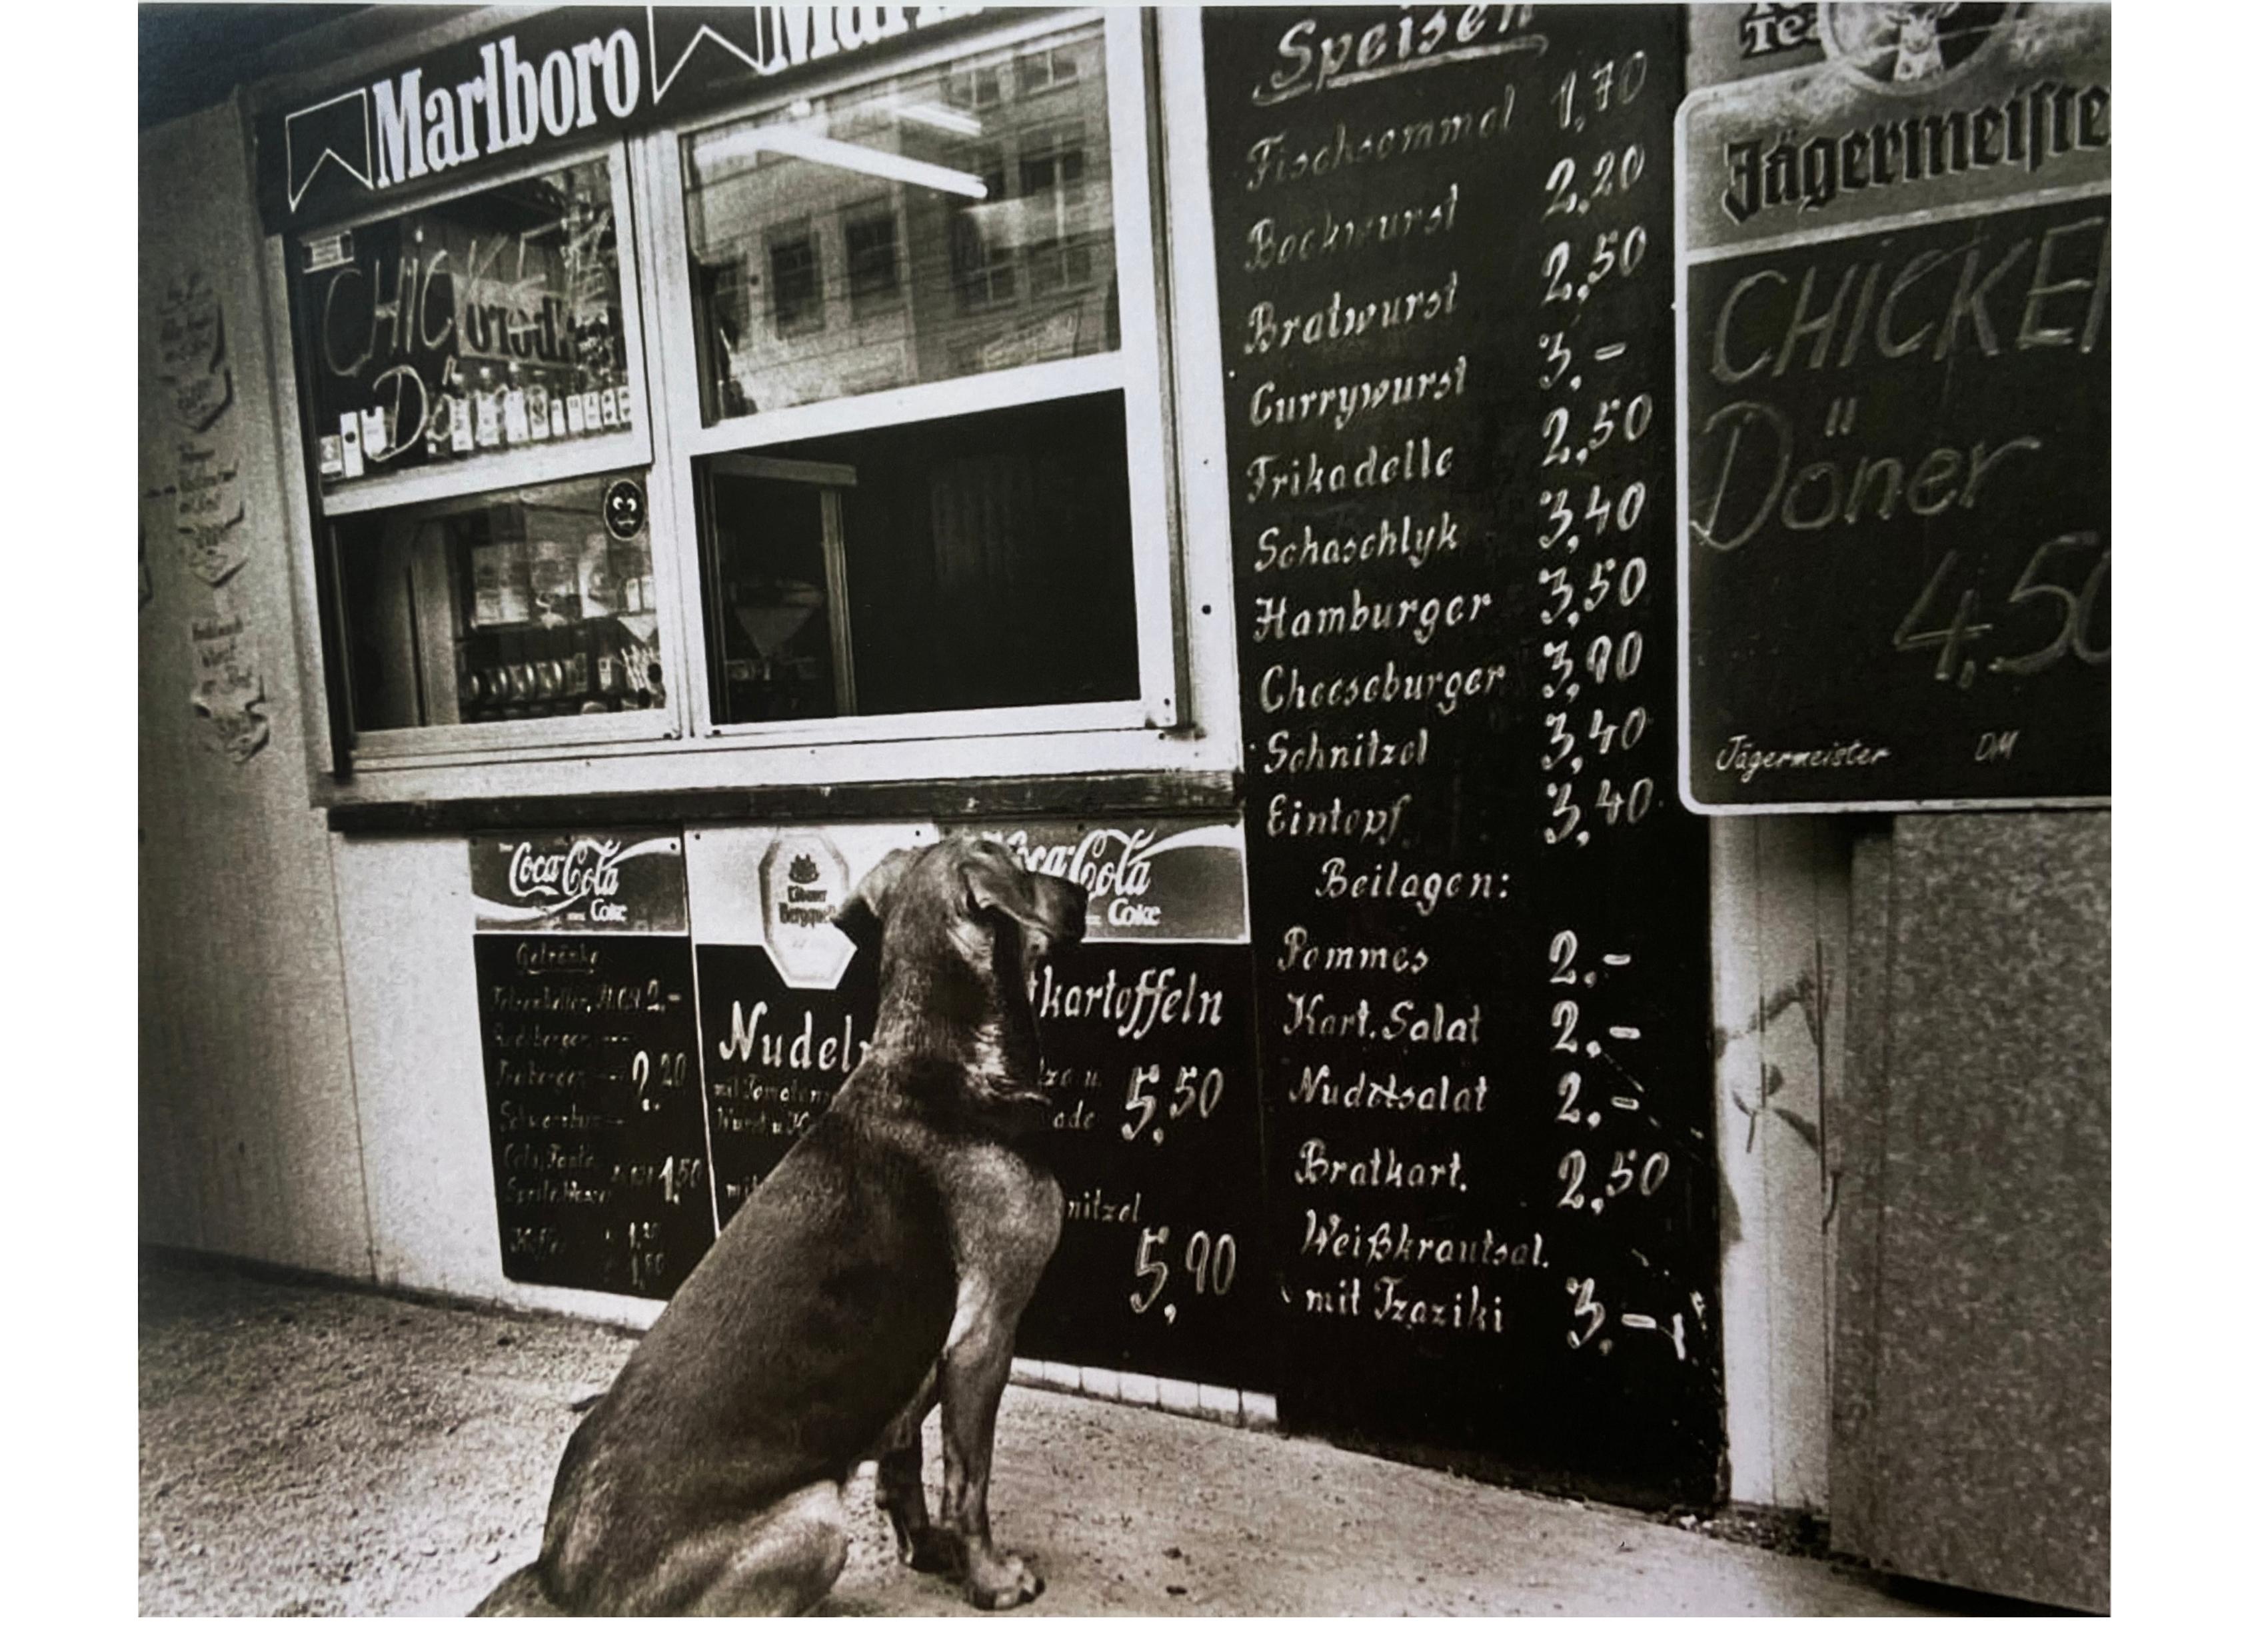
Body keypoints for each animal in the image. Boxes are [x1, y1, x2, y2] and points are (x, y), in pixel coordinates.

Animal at [474, 844, 1084, 1625]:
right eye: (1023, 865)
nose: (1083, 894)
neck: (935, 1060)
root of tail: (557, 1582)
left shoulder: (913, 1361)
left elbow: (907, 1469)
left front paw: (929, 1552)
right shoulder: (983, 1338)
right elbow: (967, 1482)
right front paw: (992, 1578)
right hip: (817, 1526)